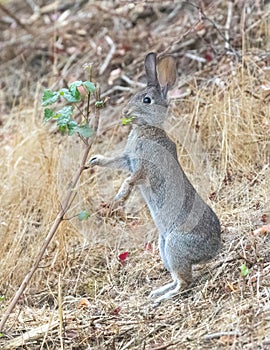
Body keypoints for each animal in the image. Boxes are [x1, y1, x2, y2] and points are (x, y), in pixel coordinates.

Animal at [89, 51, 220, 304]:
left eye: (146, 100)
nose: (125, 113)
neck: (147, 128)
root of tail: (213, 250)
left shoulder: (144, 167)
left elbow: (131, 179)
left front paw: (120, 198)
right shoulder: (127, 160)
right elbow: (114, 162)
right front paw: (94, 160)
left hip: (175, 246)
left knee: (185, 282)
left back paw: (161, 298)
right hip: (163, 247)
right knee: (179, 279)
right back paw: (157, 292)